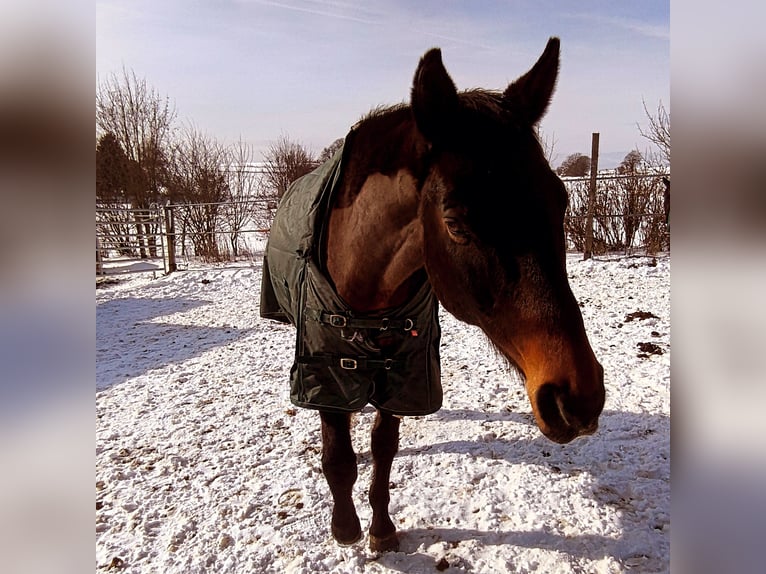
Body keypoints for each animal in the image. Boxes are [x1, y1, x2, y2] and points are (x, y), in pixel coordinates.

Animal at [260, 37, 605, 552]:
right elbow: (339, 457)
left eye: (560, 202)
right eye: (456, 223)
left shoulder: (406, 372)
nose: (578, 398)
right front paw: (346, 530)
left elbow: (384, 448)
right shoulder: (328, 372)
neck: (370, 298)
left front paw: (382, 530)